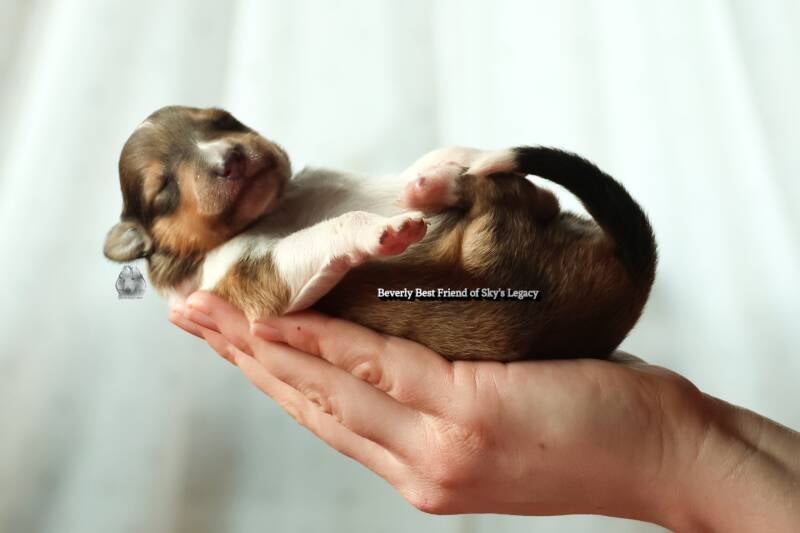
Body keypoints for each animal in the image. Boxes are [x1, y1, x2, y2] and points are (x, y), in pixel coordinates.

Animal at [103, 106, 657, 361]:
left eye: (222, 120)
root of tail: (634, 279)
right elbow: (322, 237)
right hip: (495, 251)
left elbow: (417, 163)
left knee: (520, 191)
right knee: (506, 198)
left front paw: (435, 172)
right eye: (163, 187)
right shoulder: (249, 274)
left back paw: (436, 182)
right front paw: (385, 229)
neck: (276, 209)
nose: (231, 157)